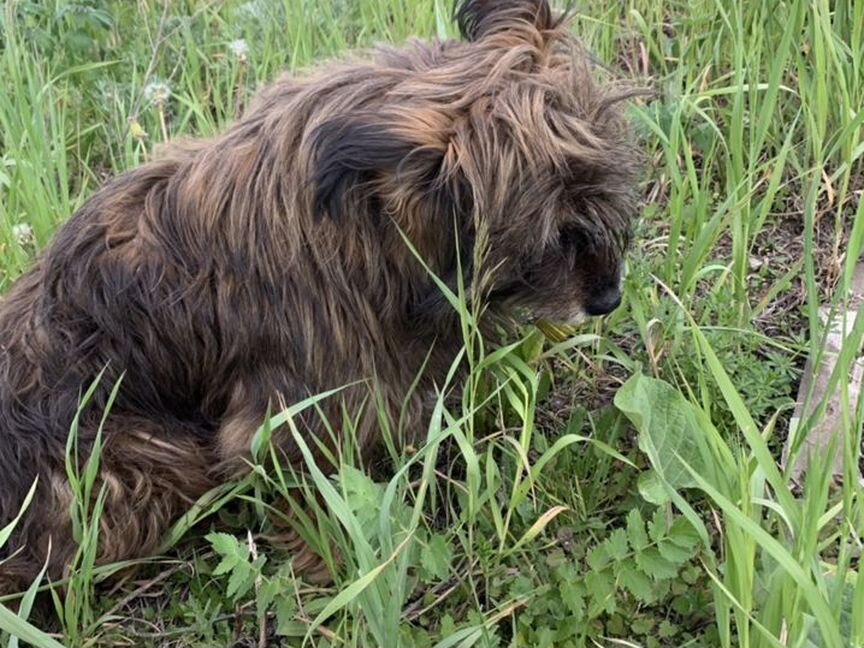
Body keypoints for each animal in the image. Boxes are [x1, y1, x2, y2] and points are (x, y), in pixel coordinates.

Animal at [0, 0, 636, 592]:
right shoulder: (291, 408)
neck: (370, 223)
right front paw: (342, 566)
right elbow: (303, 482)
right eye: (555, 233)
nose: (608, 298)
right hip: (137, 460)